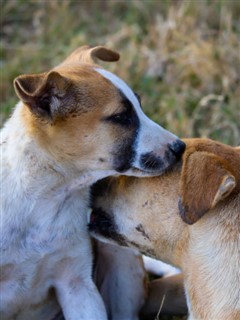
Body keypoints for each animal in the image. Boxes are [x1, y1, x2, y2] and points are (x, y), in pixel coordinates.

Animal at [0, 45, 186, 320]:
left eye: (139, 106)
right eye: (121, 117)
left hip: (118, 251)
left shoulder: (77, 285)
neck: (44, 199)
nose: (179, 147)